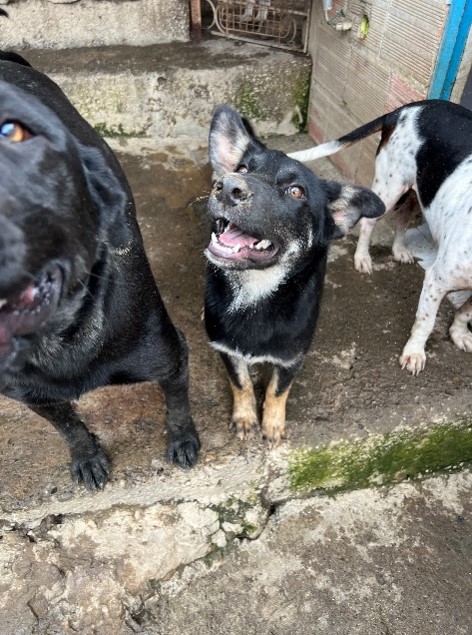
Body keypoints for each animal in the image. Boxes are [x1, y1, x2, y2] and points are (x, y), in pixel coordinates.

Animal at [0, 52, 199, 490]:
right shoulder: (34, 398)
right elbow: (68, 426)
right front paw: (86, 456)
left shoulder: (170, 356)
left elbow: (177, 404)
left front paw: (182, 438)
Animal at [205, 105, 386, 448]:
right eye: (243, 169)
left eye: (296, 191)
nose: (228, 187)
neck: (256, 291)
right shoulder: (225, 348)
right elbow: (241, 383)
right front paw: (246, 417)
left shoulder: (293, 358)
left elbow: (277, 390)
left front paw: (273, 424)